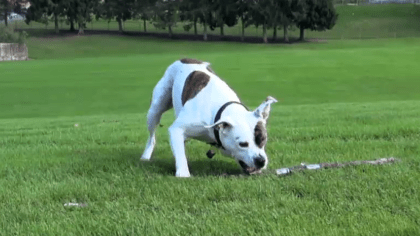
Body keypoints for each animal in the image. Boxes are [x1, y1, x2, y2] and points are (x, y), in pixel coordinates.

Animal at [141, 58, 278, 177]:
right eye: (242, 144)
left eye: (263, 139)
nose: (261, 161)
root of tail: (185, 58)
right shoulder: (176, 129)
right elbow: (180, 153)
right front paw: (183, 173)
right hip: (155, 109)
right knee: (152, 136)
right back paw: (146, 155)